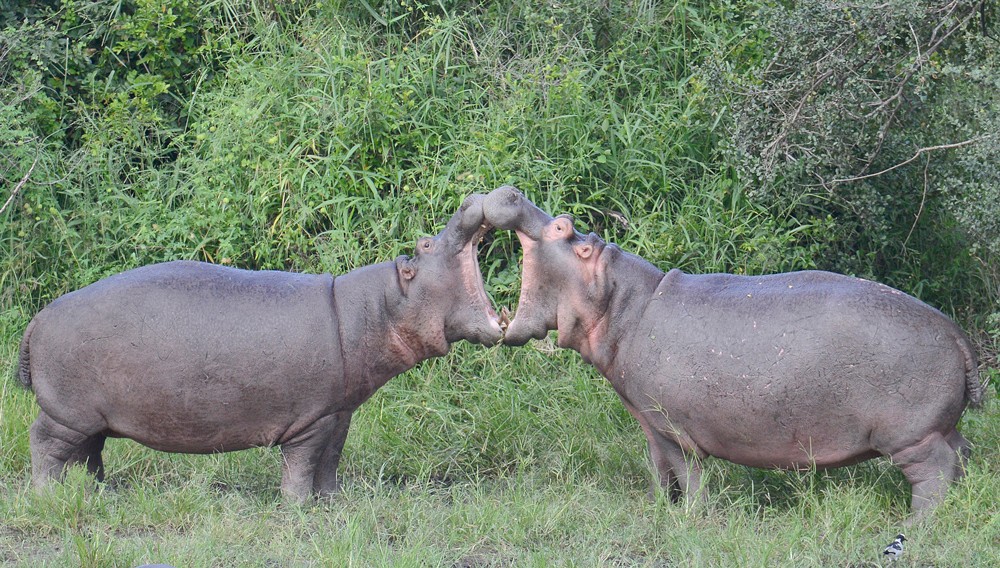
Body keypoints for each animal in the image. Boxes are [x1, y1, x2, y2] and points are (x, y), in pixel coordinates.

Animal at [21, 193, 508, 500]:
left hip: (92, 416)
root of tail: (38, 319)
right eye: (425, 245)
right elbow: (303, 464)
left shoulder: (339, 412)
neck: (380, 308)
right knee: (45, 443)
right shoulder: (311, 420)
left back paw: (99, 493)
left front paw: (332, 500)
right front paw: (298, 507)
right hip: (68, 411)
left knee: (89, 454)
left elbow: (331, 460)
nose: (474, 201)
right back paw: (49, 497)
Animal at [484, 185, 984, 516]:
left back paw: (917, 526)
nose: (510, 192)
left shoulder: (675, 428)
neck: (621, 303)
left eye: (564, 229)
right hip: (939, 427)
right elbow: (659, 469)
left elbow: (687, 473)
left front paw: (692, 519)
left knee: (935, 472)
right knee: (961, 454)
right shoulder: (652, 423)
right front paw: (660, 511)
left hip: (912, 436)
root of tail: (957, 333)